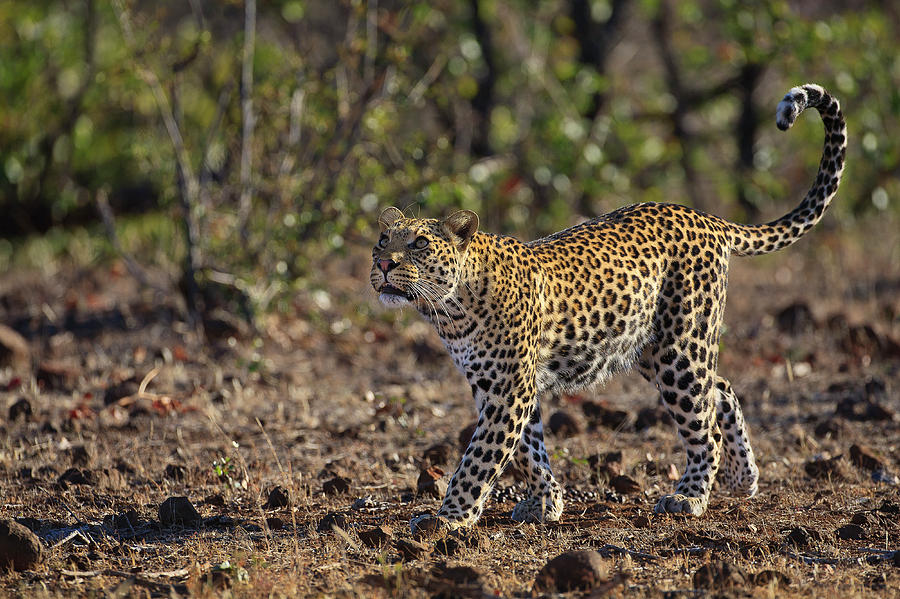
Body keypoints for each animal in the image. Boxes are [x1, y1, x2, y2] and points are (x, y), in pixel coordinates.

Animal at [370, 84, 844, 536]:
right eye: (382, 240)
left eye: (419, 244)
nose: (383, 264)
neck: (450, 310)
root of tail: (706, 217)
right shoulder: (494, 384)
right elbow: (528, 448)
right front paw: (546, 502)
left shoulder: (508, 388)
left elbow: (480, 457)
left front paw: (449, 518)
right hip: (652, 346)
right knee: (721, 389)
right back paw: (743, 478)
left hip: (680, 348)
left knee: (704, 424)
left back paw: (691, 495)